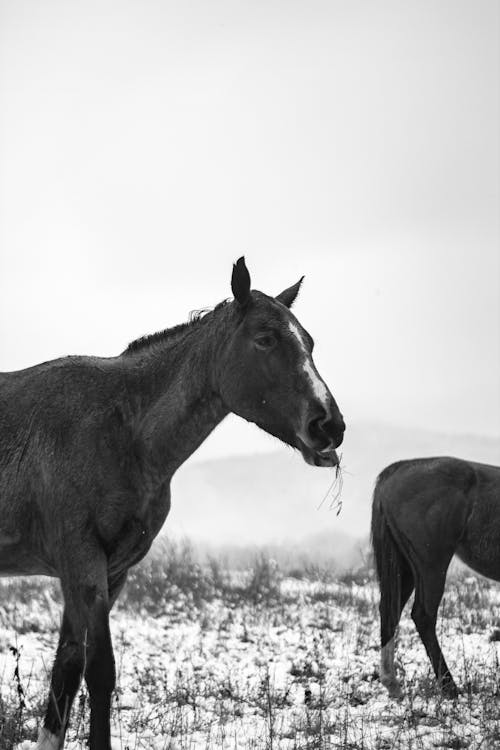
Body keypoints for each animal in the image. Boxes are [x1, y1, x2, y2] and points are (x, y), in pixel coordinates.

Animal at [0, 260, 346, 750]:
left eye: (309, 342)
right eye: (265, 339)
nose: (328, 425)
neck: (121, 431)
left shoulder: (110, 572)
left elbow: (67, 667)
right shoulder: (83, 562)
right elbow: (98, 671)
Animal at [372, 456, 500, 704]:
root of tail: (398, 469)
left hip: (405, 568)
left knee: (390, 613)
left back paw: (392, 684)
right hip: (432, 566)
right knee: (423, 616)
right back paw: (450, 687)